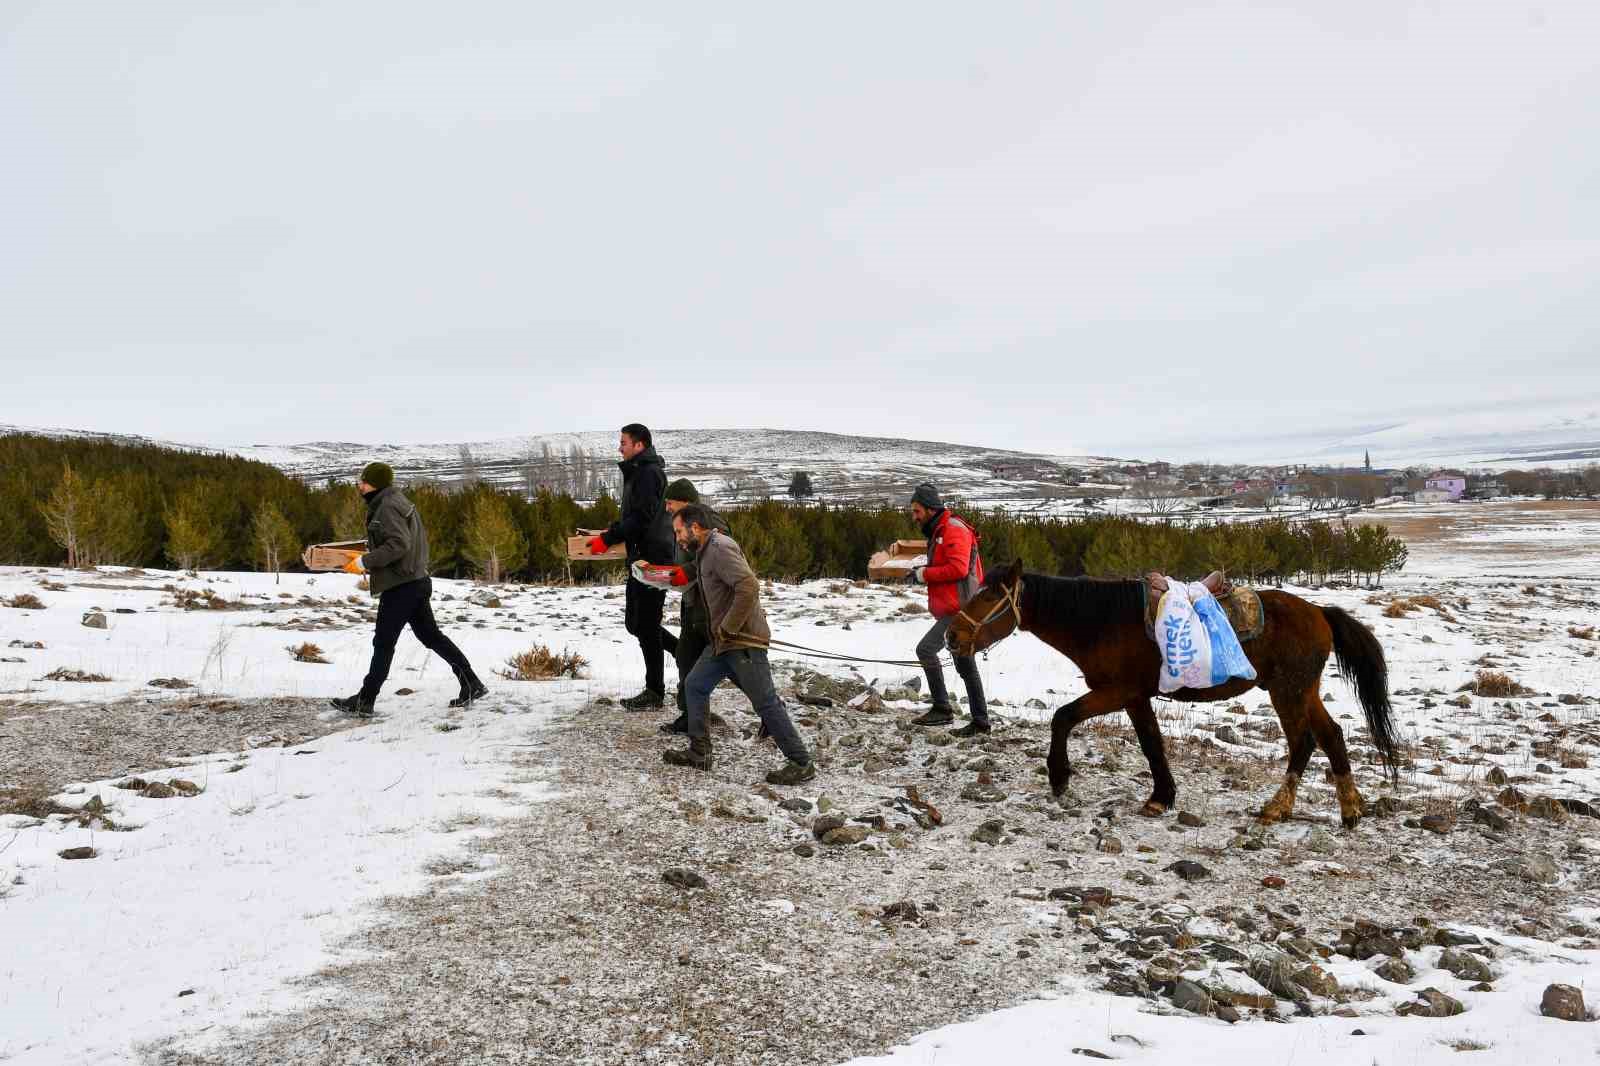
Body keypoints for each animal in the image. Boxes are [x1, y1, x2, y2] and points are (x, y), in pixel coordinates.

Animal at [947, 560, 1401, 825]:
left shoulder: (1117, 691)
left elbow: (1064, 717)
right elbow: (1152, 744)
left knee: (1303, 741)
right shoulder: (1134, 698)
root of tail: (1320, 612)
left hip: (1289, 691)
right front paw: (1162, 797)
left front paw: (1059, 777)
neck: (1102, 622)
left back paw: (1280, 807)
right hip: (1303, 690)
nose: (953, 636)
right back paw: (1349, 809)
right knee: (1330, 736)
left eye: (989, 594)